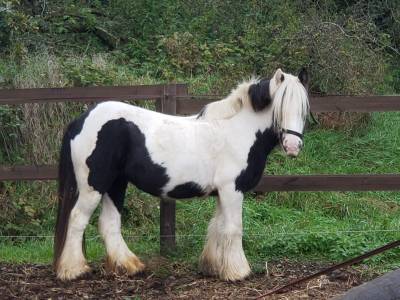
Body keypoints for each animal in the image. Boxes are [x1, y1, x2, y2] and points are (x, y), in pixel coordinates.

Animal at [54, 68, 310, 282]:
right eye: (280, 107)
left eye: (303, 110)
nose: (293, 146)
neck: (238, 130)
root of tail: (81, 120)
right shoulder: (232, 190)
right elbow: (234, 228)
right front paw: (238, 272)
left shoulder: (222, 192)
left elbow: (217, 227)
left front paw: (213, 267)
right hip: (94, 185)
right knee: (77, 219)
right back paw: (73, 270)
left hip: (115, 184)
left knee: (109, 223)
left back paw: (129, 266)